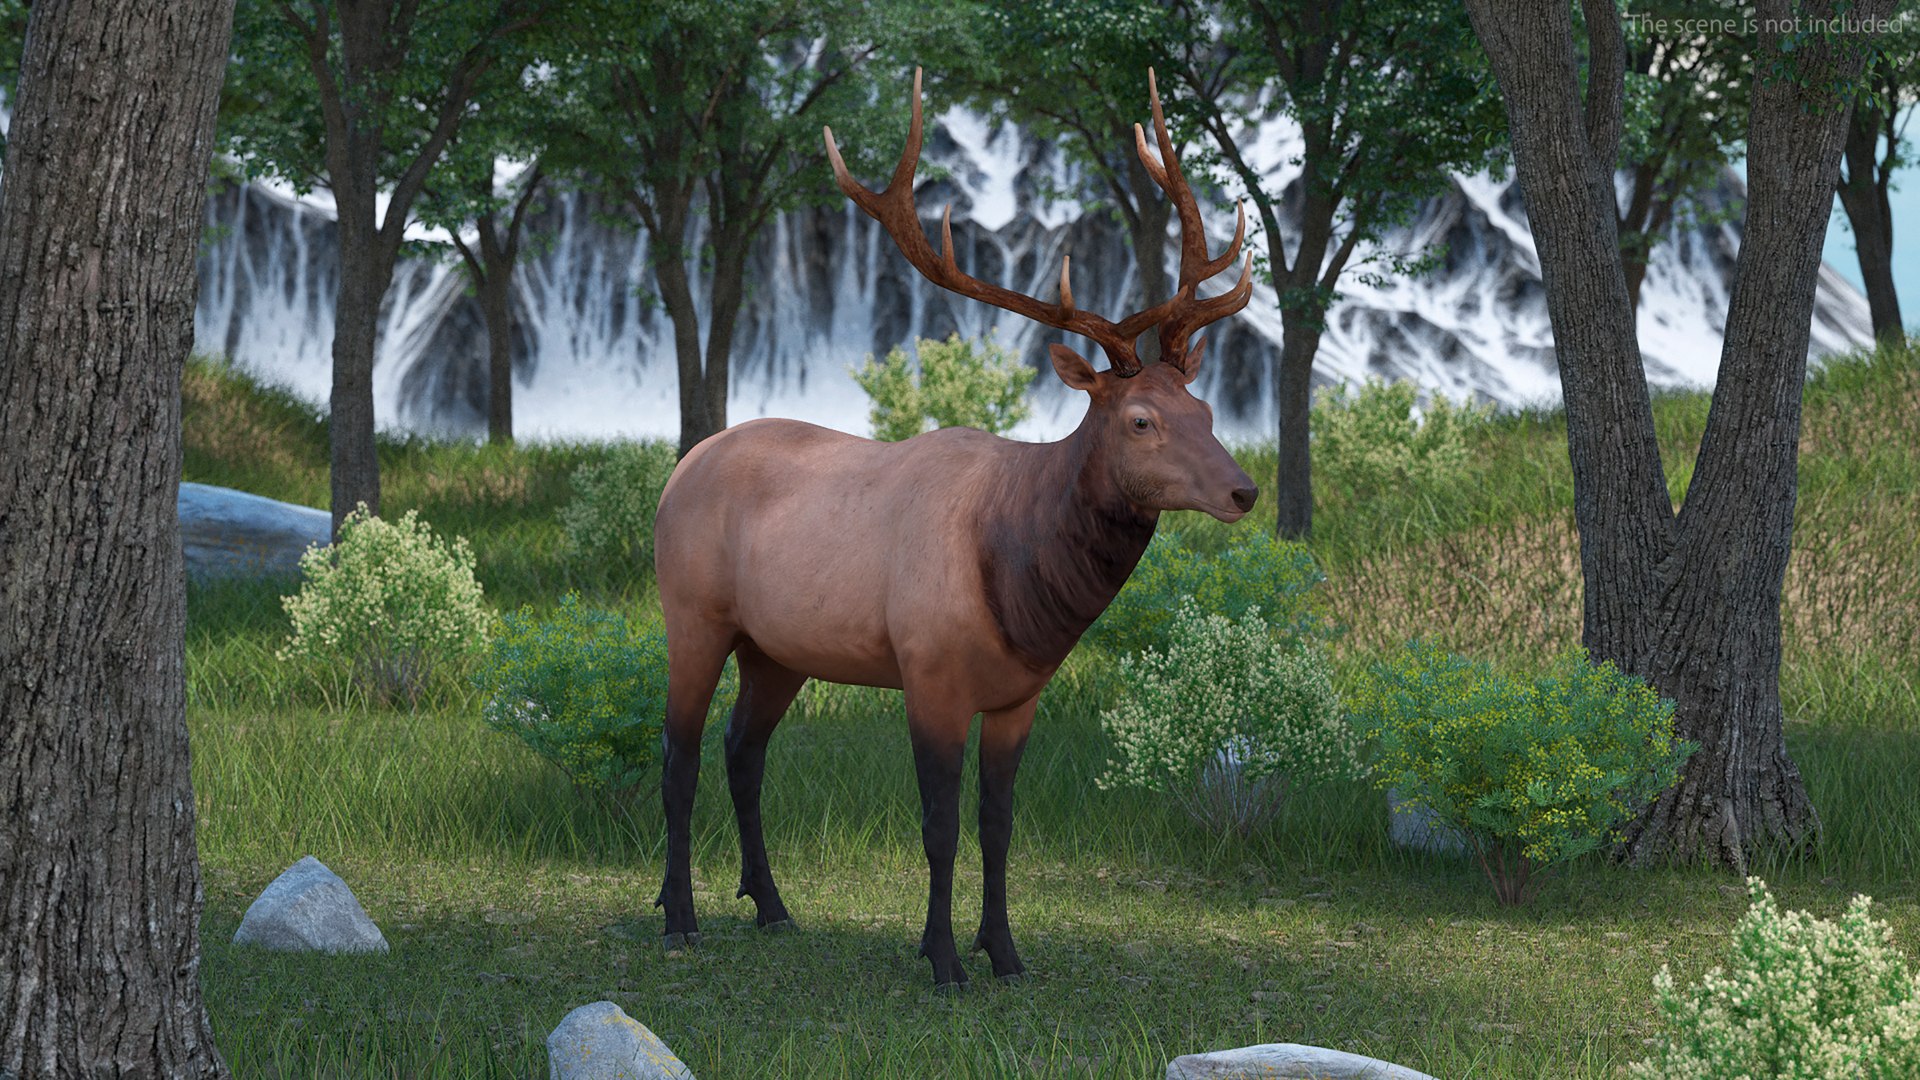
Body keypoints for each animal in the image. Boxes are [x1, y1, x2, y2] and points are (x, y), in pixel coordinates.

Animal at [650, 68, 1257, 988]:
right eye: (1141, 420)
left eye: (1209, 409)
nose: (1244, 490)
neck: (1022, 593)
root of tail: (679, 469)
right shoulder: (928, 670)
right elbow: (938, 828)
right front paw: (941, 959)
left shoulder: (1020, 694)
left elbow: (998, 829)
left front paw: (1004, 952)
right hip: (693, 613)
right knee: (678, 753)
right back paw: (680, 916)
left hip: (777, 647)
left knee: (741, 750)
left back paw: (772, 906)